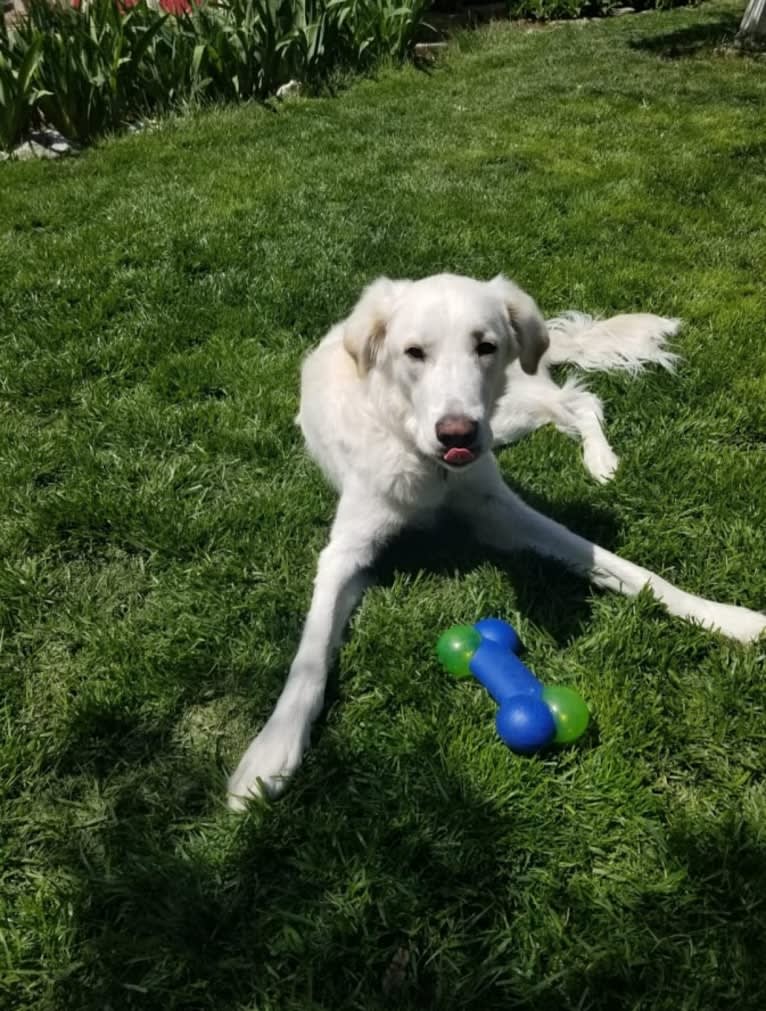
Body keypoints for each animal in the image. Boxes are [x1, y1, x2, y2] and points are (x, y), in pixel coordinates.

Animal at [228, 272, 766, 808]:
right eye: (414, 352)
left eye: (485, 346)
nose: (457, 434)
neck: (431, 469)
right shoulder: (346, 553)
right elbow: (311, 653)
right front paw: (271, 751)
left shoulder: (504, 514)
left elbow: (629, 569)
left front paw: (727, 617)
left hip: (506, 415)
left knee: (579, 402)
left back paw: (602, 462)